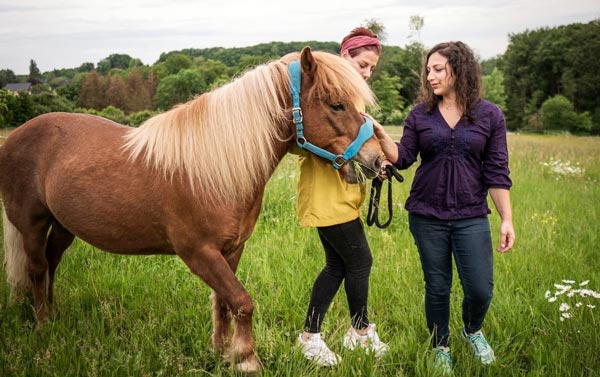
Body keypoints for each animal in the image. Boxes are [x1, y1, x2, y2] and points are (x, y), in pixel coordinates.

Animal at [0, 47, 382, 374]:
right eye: (336, 105)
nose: (377, 159)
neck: (216, 168)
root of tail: (15, 137)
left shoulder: (231, 250)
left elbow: (224, 303)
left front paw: (222, 353)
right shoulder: (199, 253)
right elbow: (242, 301)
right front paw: (247, 360)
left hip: (64, 226)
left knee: (51, 262)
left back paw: (54, 313)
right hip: (32, 224)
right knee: (36, 269)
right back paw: (44, 325)